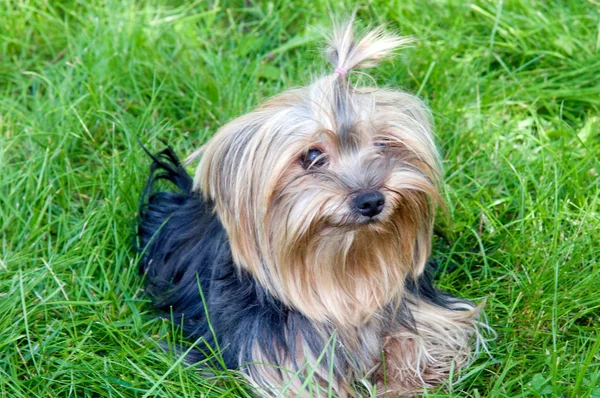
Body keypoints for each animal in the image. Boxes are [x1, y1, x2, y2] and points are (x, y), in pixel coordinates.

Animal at [138, 17, 486, 394]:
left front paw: (400, 382)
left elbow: (420, 342)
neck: (345, 265)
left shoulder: (427, 314)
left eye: (383, 144)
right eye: (312, 156)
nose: (371, 199)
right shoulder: (279, 359)